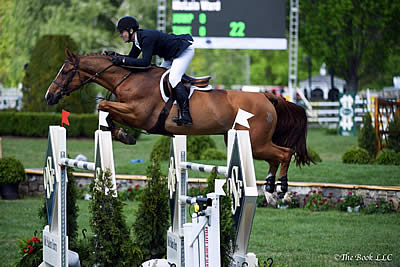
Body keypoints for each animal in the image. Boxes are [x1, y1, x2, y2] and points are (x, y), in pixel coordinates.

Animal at [44, 48, 312, 195]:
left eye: (65, 71)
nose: (49, 96)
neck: (130, 79)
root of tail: (267, 96)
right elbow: (107, 112)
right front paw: (122, 134)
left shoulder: (140, 115)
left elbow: (103, 107)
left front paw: (122, 134)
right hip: (241, 140)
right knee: (275, 157)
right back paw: (270, 187)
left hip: (255, 142)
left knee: (284, 153)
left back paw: (282, 187)